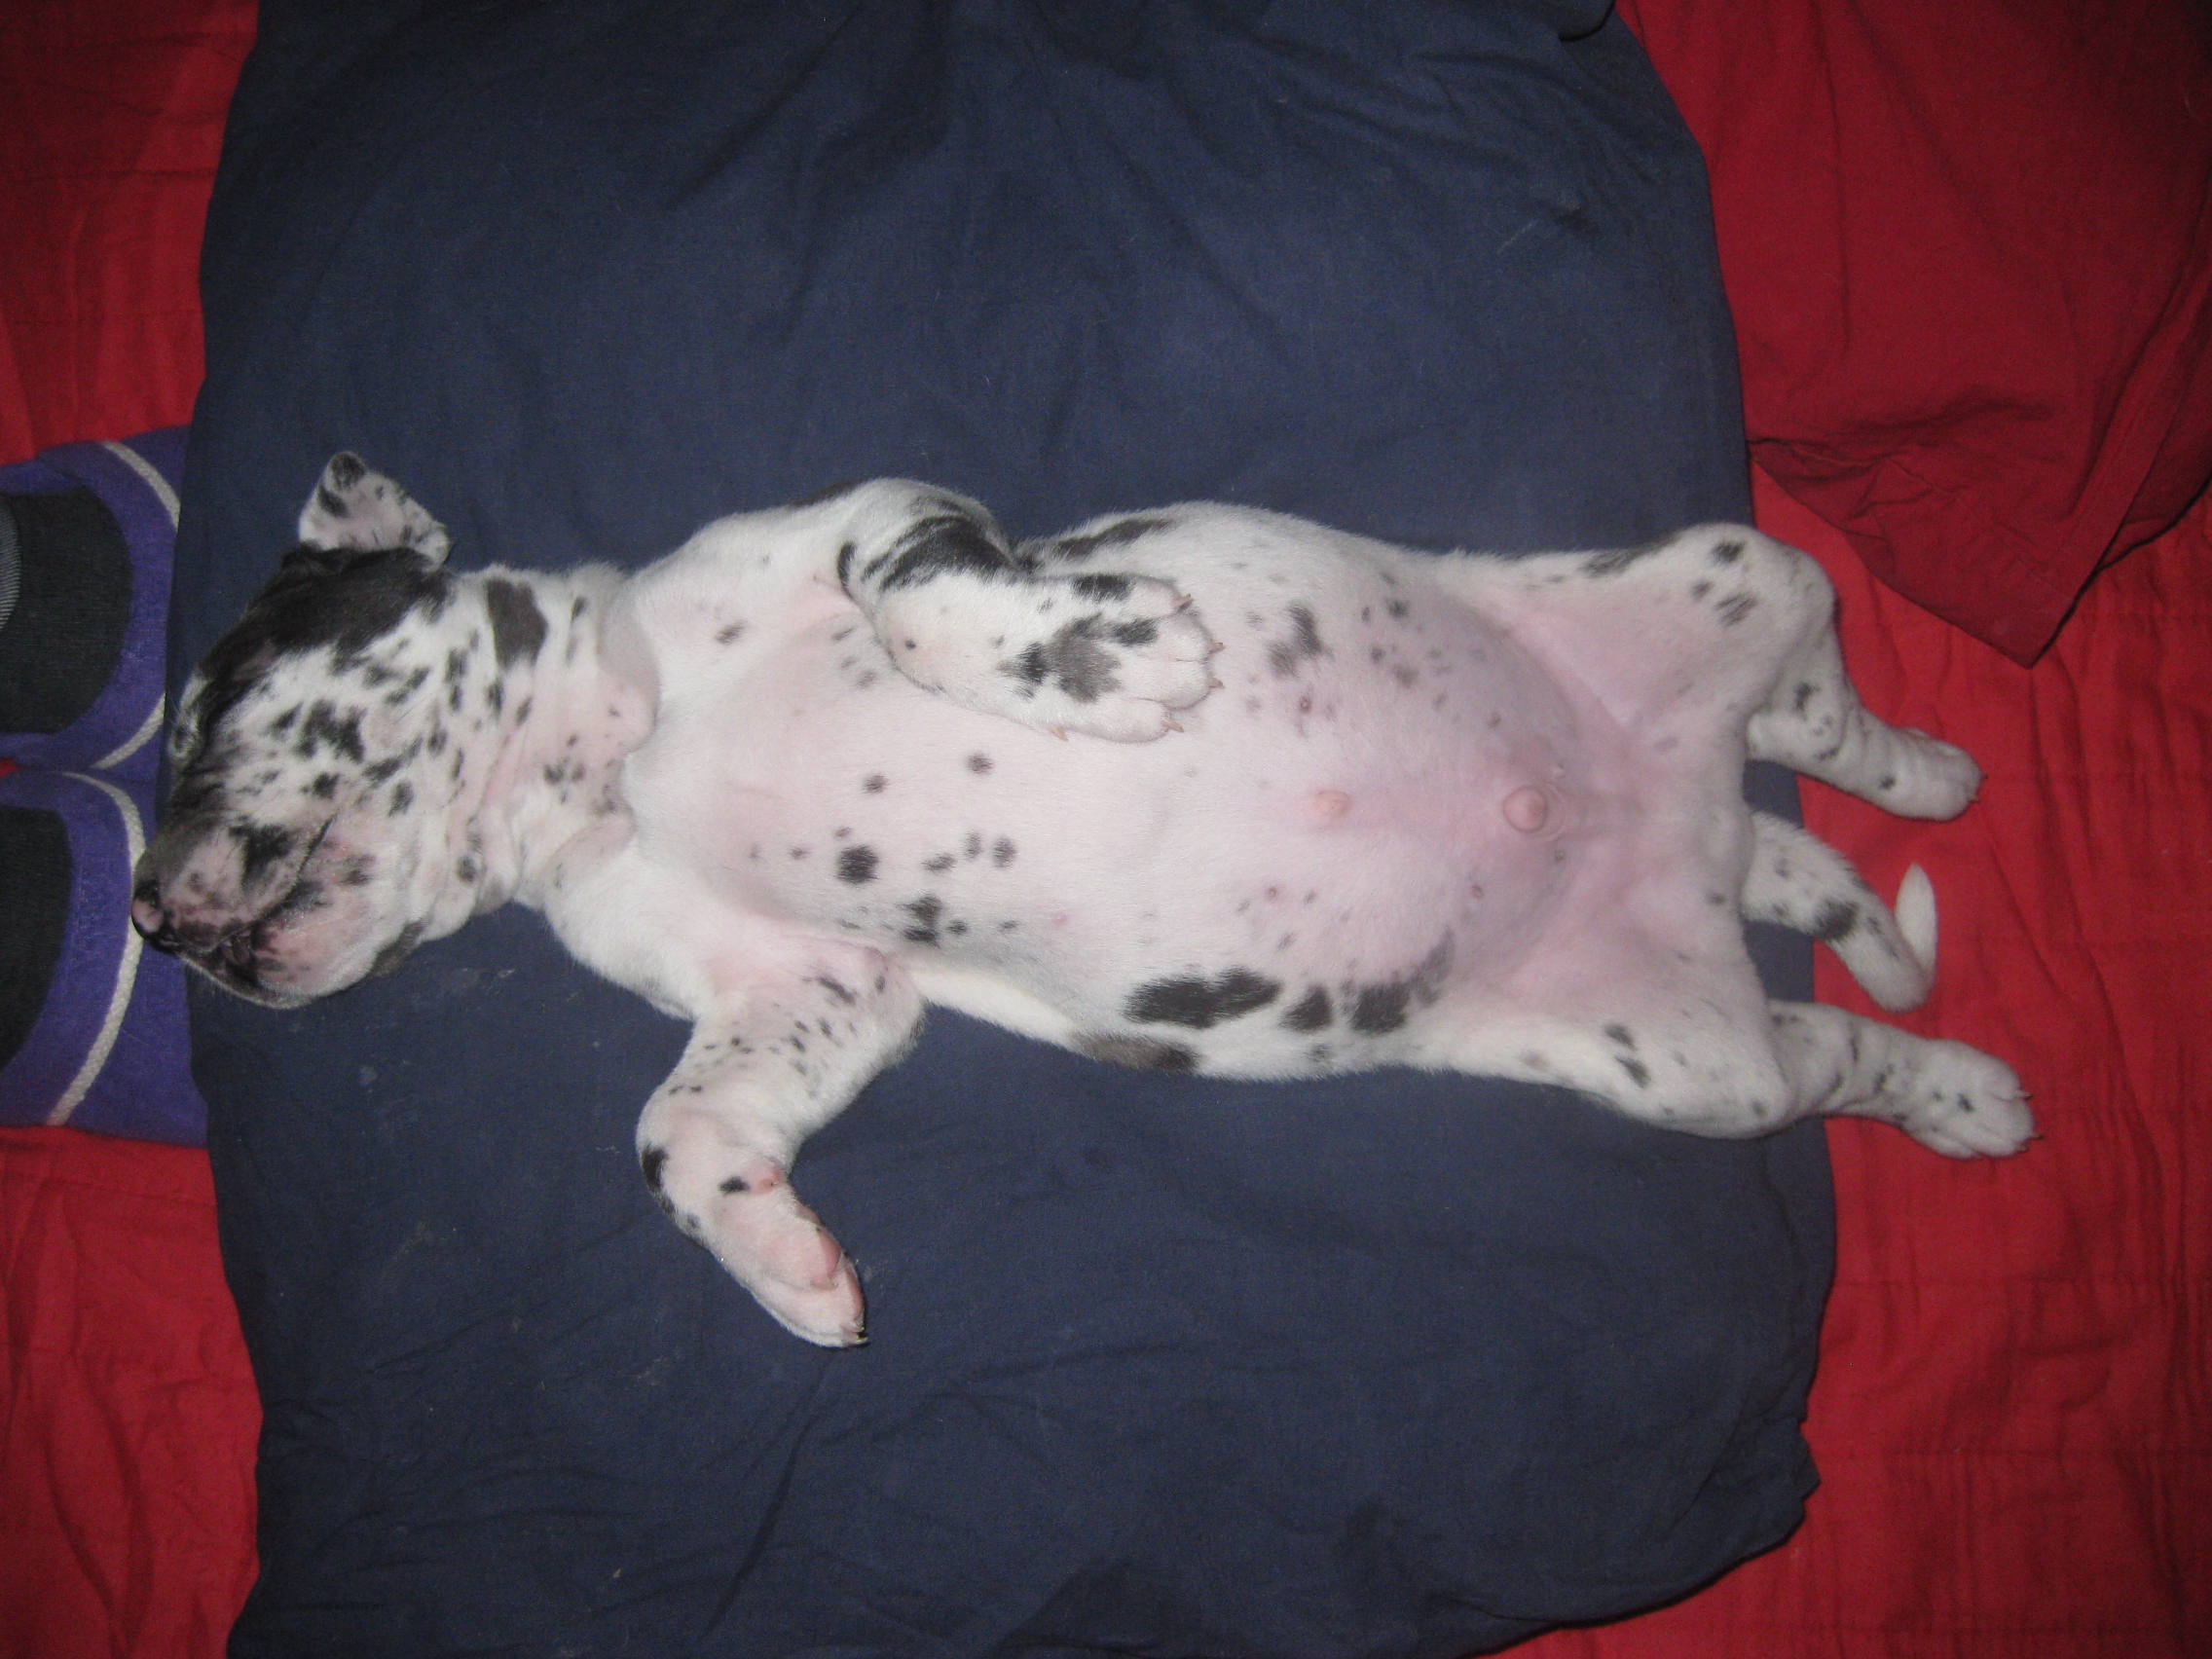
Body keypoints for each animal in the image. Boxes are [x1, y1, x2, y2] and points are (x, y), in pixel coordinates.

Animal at [134, 456, 2031, 1344]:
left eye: (205, 708)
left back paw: (1937, 792)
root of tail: (1675, 817)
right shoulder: (811, 990)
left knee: (1821, 698)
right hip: (1695, 1063)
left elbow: (922, 601)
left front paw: (1102, 660)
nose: (149, 916)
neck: (600, 762)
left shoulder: (869, 517)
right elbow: (678, 1133)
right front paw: (777, 1254)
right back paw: (1950, 1055)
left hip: (1733, 563)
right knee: (1832, 1021)